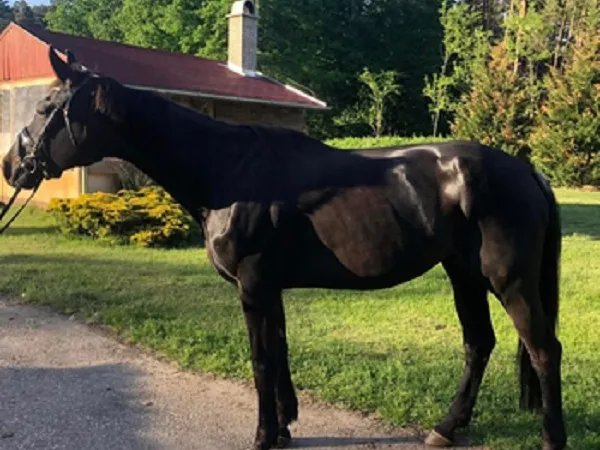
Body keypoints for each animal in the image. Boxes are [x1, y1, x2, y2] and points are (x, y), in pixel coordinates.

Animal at [1, 49, 568, 450]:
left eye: (47, 108)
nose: (12, 166)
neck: (227, 171)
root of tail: (526, 171)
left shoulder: (253, 286)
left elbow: (260, 360)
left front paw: (262, 437)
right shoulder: (269, 287)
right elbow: (279, 352)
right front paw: (284, 427)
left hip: (508, 280)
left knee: (543, 349)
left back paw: (550, 437)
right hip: (463, 274)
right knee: (479, 344)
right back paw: (446, 428)